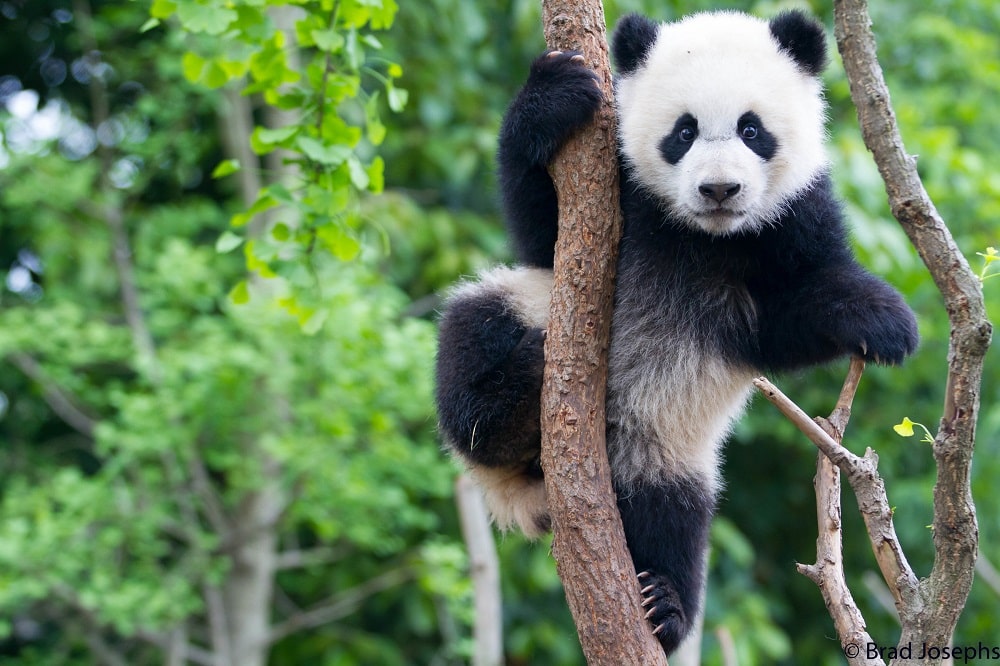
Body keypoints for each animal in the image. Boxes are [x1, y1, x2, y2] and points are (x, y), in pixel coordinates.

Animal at [434, 9, 918, 656]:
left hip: (665, 450)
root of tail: (528, 486)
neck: (702, 237)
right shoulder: (615, 196)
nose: (719, 190)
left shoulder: (792, 220)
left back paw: (663, 606)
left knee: (672, 518)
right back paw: (514, 395)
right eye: (683, 133)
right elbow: (540, 229)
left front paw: (886, 321)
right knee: (470, 345)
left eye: (751, 130)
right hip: (518, 307)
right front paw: (554, 93)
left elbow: (791, 316)